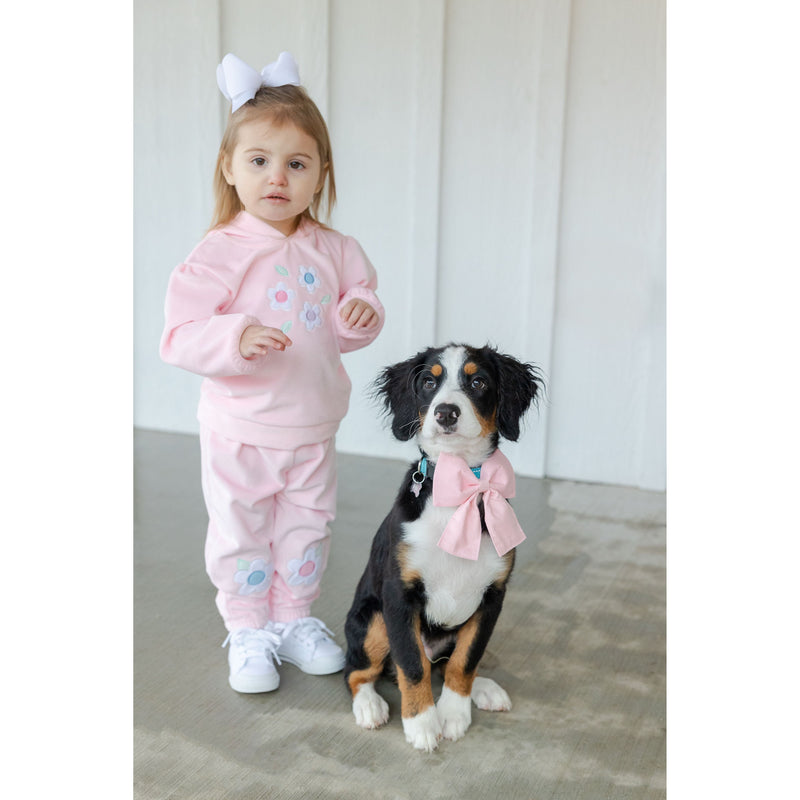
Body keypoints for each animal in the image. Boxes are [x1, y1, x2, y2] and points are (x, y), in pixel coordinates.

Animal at [344, 342, 544, 752]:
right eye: (428, 382)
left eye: (478, 381)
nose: (446, 412)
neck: (458, 489)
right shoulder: (398, 596)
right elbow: (412, 664)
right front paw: (421, 723)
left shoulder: (491, 597)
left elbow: (465, 661)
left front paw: (453, 712)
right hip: (371, 619)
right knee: (357, 671)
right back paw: (369, 706)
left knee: (447, 663)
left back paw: (484, 689)